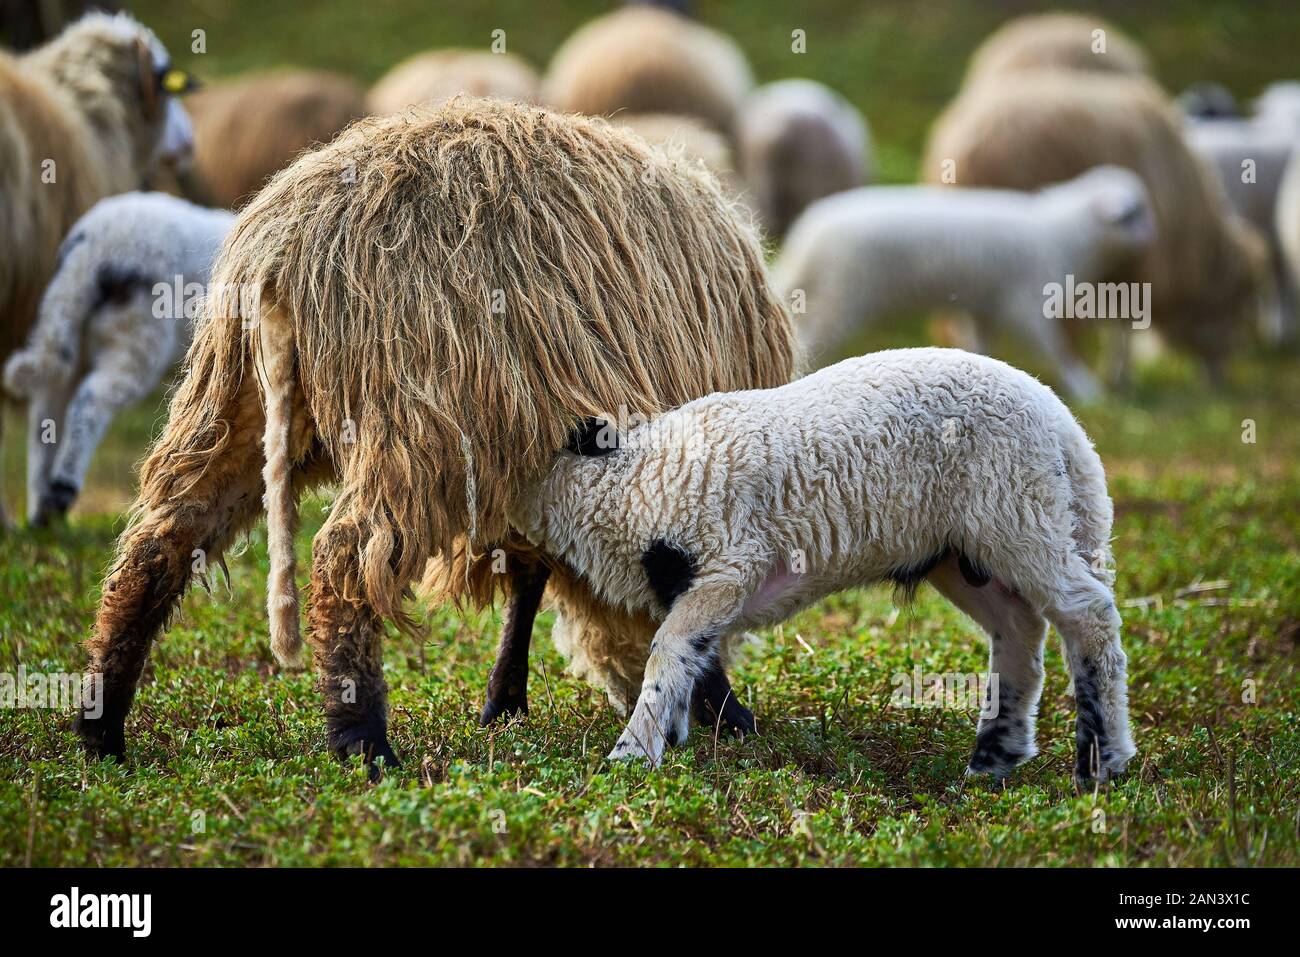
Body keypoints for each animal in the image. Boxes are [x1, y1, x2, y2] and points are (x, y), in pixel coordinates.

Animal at [3, 192, 233, 526]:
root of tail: (92, 250)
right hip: (136, 336)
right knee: (91, 401)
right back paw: (62, 489)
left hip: (71, 332)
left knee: (45, 418)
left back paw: (42, 512)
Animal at [73, 99, 796, 779]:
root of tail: (289, 247)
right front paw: (726, 708)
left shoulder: (533, 463)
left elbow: (529, 574)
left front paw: (505, 699)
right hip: (416, 427)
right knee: (342, 560)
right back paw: (363, 742)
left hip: (234, 404)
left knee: (160, 544)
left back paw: (101, 728)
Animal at [509, 347, 1136, 783]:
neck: (633, 481)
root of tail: (1065, 427)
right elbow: (688, 657)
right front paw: (675, 735)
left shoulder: (728, 563)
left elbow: (670, 651)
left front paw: (633, 753)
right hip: (961, 547)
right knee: (1019, 627)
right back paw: (994, 757)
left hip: (1016, 506)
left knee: (1088, 613)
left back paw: (1102, 763)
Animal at [775, 166, 1156, 401]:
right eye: (1134, 213)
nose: (1152, 238)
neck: (1066, 235)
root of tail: (809, 236)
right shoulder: (1027, 301)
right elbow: (1056, 349)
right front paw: (1086, 388)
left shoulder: (987, 306)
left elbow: (982, 343)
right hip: (843, 294)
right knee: (810, 339)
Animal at [923, 72, 1271, 382]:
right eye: (1237, 300)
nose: (1219, 377)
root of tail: (961, 145)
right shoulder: (1136, 267)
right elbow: (1124, 324)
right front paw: (1121, 376)